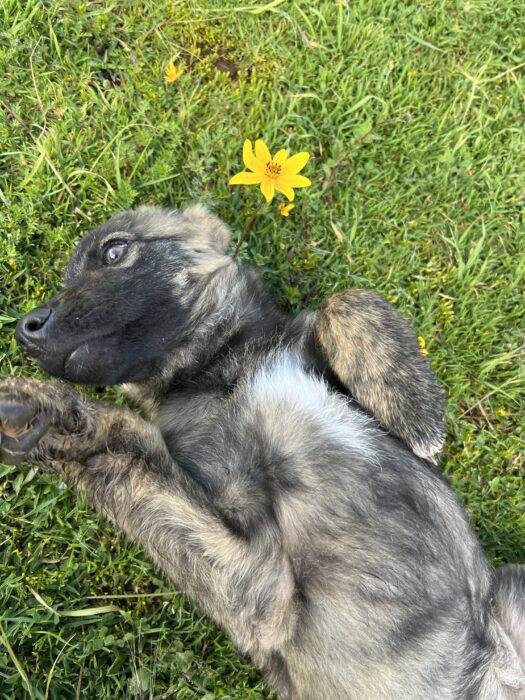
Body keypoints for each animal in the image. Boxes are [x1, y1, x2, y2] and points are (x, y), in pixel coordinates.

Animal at [2, 205, 520, 696]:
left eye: (114, 251)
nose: (25, 330)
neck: (222, 369)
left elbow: (346, 299)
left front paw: (413, 406)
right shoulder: (259, 593)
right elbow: (126, 447)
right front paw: (48, 411)